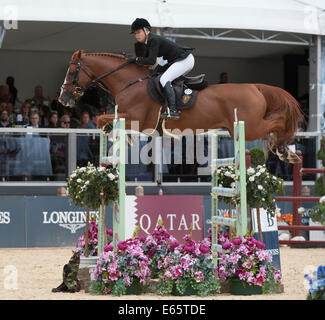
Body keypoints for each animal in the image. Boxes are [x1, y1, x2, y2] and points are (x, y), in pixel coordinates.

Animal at [58, 51, 304, 164]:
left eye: (71, 72)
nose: (63, 99)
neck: (129, 81)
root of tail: (256, 87)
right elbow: (105, 118)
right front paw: (116, 134)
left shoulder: (139, 120)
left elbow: (102, 118)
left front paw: (115, 134)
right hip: (241, 127)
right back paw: (283, 150)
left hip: (250, 126)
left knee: (279, 122)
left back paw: (284, 149)